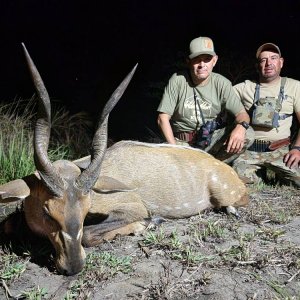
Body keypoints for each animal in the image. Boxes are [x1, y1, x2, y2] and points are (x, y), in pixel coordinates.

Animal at [0, 43, 248, 276]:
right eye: (47, 212)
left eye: (86, 208)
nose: (74, 266)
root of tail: (225, 169)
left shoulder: (134, 206)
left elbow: (89, 233)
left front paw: (147, 224)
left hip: (226, 194)